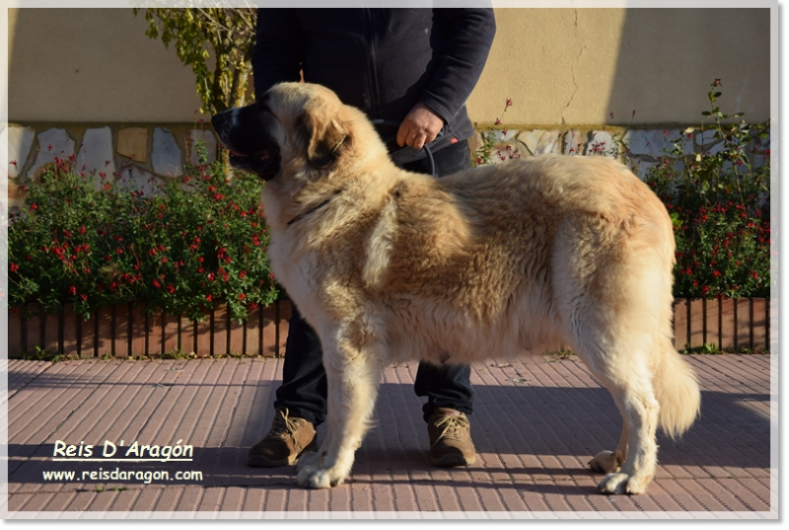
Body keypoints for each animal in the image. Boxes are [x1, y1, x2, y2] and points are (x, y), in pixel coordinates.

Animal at [212, 80, 700, 492]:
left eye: (262, 108)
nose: (217, 117)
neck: (334, 194)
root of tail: (646, 195)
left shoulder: (348, 343)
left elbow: (344, 413)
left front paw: (331, 469)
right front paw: (324, 460)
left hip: (596, 330)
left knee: (643, 406)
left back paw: (633, 476)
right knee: (634, 401)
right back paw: (615, 462)